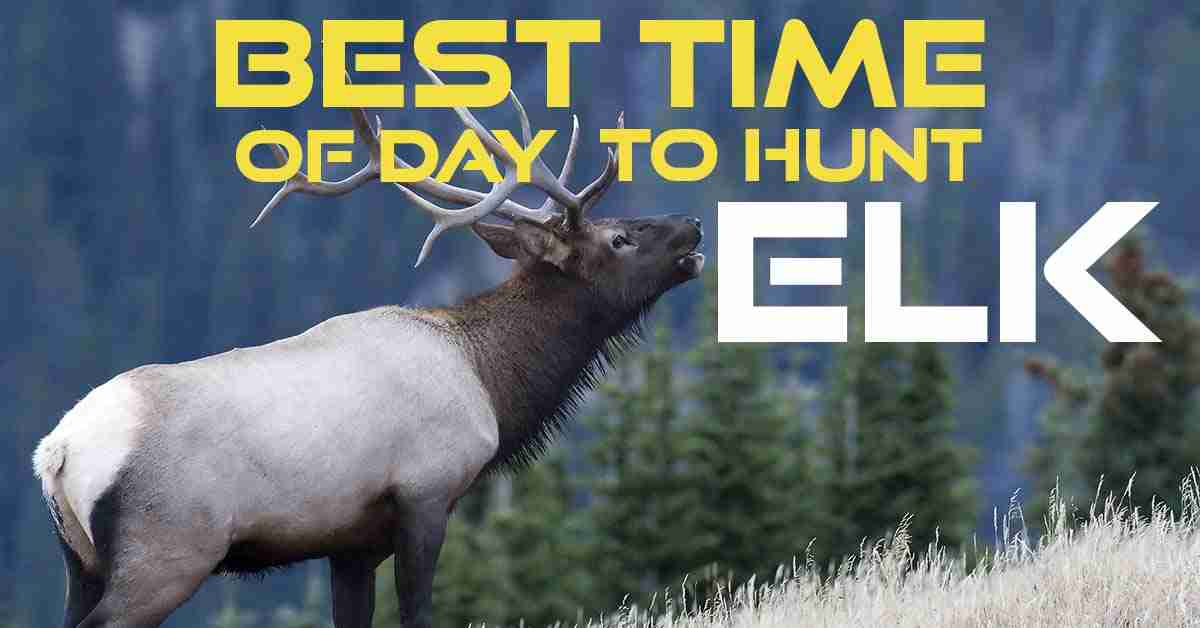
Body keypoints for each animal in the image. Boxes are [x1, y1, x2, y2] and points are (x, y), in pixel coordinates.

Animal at [32, 66, 704, 628]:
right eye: (620, 238)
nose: (694, 226)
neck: (491, 381)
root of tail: (57, 452)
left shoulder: (350, 543)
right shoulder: (426, 493)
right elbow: (418, 612)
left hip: (79, 561)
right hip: (167, 547)